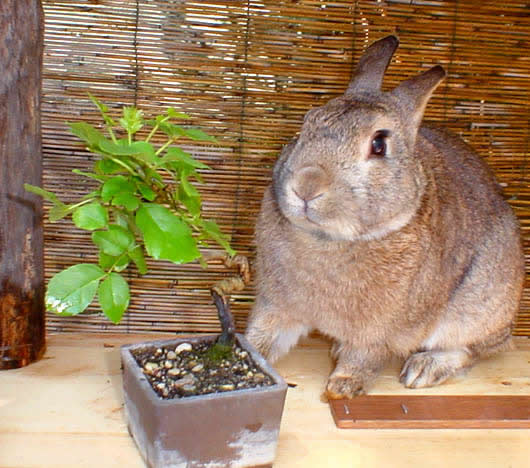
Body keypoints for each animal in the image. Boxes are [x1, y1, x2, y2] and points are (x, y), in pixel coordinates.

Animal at [244, 35, 524, 398]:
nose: (306, 186)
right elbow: (262, 337)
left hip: (479, 307)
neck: (331, 239)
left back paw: (424, 369)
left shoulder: (381, 330)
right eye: (306, 126)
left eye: (379, 144)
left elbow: (366, 355)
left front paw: (342, 388)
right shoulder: (277, 307)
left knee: (471, 349)